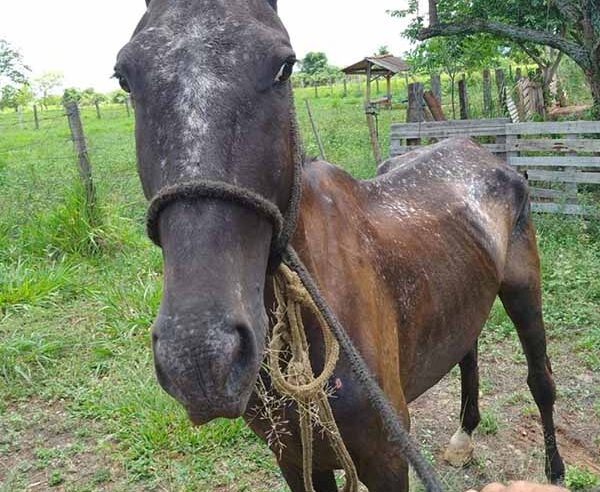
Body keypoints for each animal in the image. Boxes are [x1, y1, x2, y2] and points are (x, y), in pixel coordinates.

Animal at [113, 0, 568, 488]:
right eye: (124, 76)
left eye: (284, 66)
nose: (199, 359)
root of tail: (480, 152)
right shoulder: (294, 459)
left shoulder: (387, 459)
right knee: (468, 349)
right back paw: (464, 435)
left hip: (523, 289)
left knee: (541, 380)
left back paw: (554, 470)